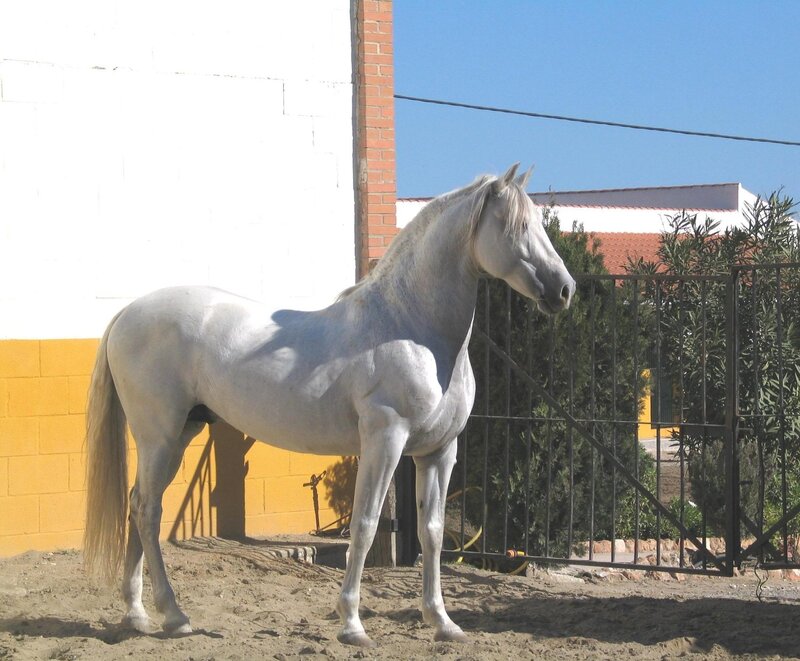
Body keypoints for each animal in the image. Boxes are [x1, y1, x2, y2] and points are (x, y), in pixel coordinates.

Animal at [83, 163, 575, 647]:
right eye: (518, 225)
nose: (564, 289)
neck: (410, 327)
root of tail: (126, 313)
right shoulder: (384, 442)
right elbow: (365, 524)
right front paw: (352, 624)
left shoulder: (438, 452)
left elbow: (432, 533)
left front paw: (442, 622)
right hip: (160, 436)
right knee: (148, 511)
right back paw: (174, 615)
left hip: (182, 432)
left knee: (138, 504)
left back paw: (138, 615)